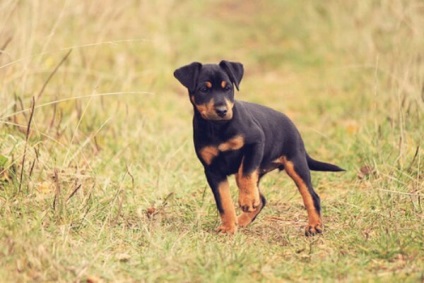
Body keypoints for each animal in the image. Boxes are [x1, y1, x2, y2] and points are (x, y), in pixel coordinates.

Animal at [174, 60, 342, 237]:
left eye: (228, 88)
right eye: (203, 89)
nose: (222, 111)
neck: (218, 127)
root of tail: (292, 124)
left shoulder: (255, 143)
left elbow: (246, 174)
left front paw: (247, 200)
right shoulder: (213, 170)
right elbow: (224, 201)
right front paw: (228, 227)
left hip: (296, 163)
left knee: (311, 195)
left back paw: (314, 226)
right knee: (261, 199)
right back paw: (241, 220)